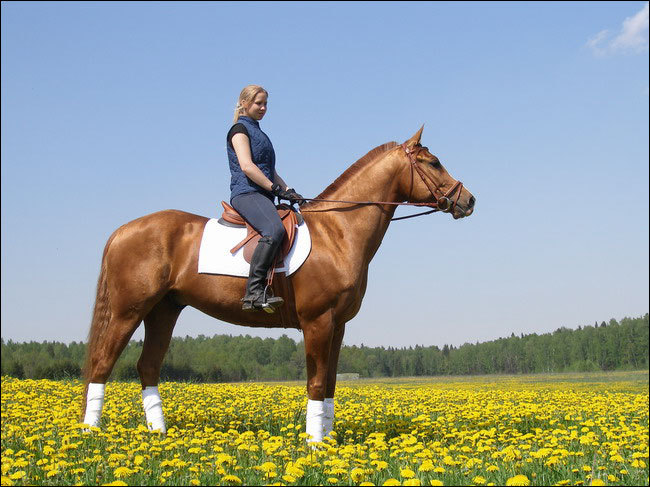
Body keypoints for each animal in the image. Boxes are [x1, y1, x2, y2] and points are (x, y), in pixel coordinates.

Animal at [80, 126, 475, 442]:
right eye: (433, 163)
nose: (469, 200)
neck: (338, 232)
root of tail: (123, 231)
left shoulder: (338, 326)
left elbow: (330, 384)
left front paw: (327, 443)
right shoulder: (317, 322)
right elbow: (315, 384)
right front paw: (314, 445)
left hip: (164, 311)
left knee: (147, 367)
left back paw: (158, 435)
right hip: (128, 312)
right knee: (102, 363)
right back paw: (91, 434)